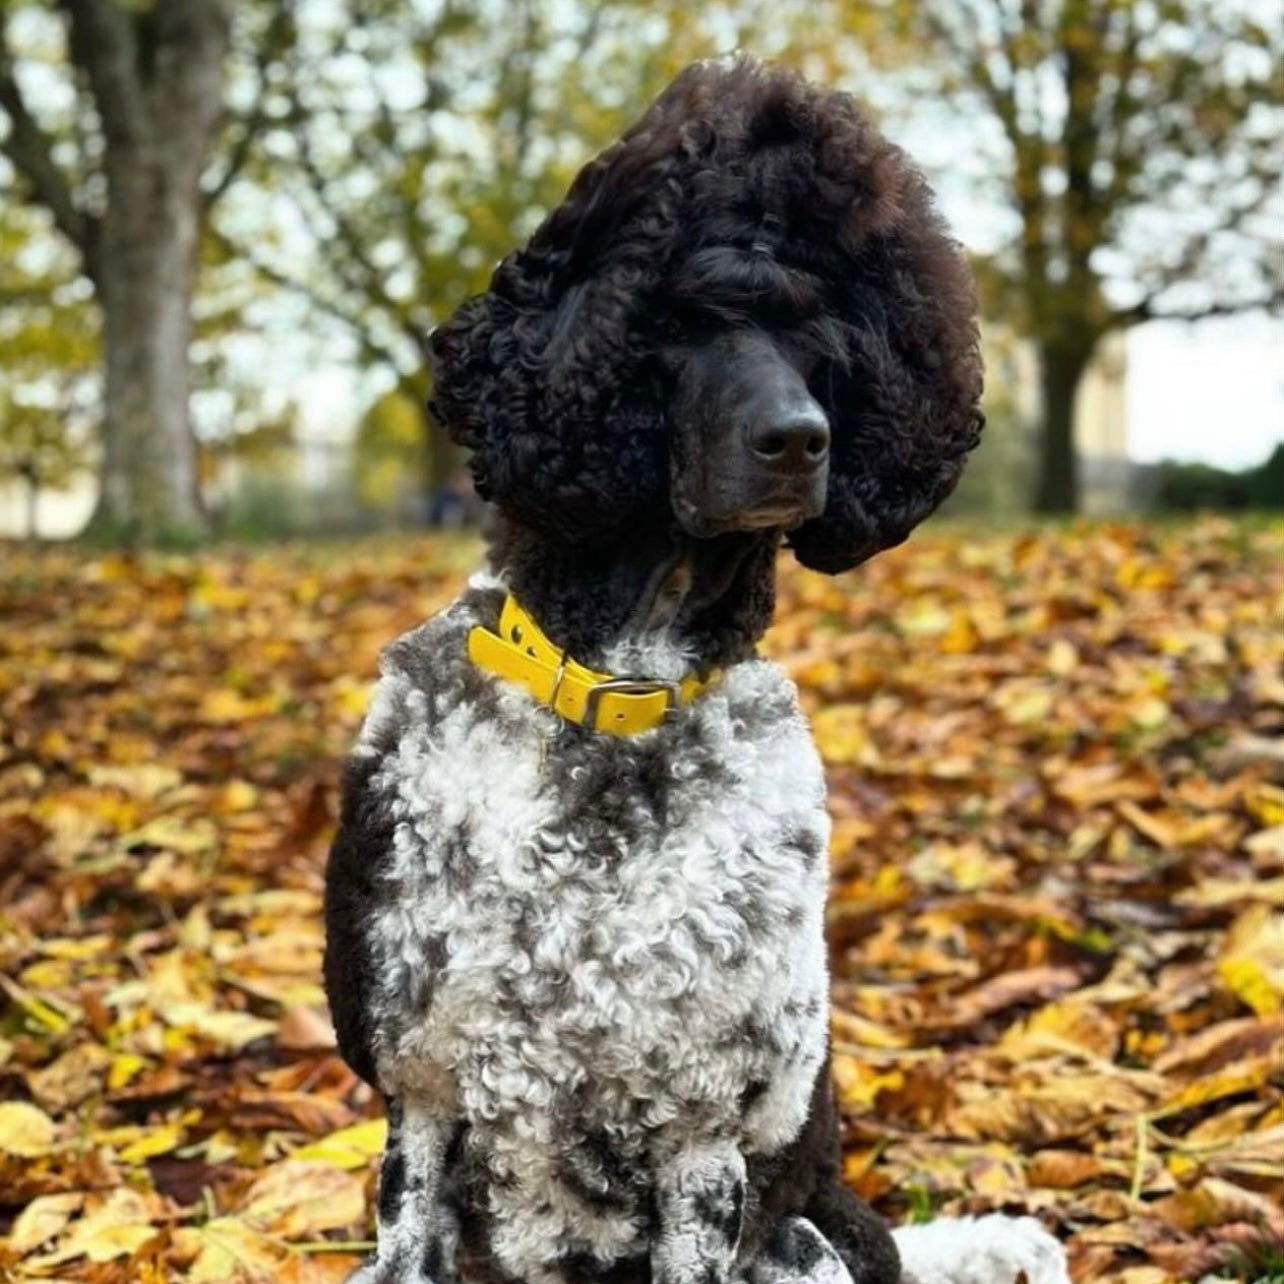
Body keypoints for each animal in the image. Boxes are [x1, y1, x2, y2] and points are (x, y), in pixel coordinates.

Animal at [326, 52, 1068, 1284]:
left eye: (818, 329)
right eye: (674, 321)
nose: (801, 439)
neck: (620, 697)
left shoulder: (708, 1130)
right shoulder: (418, 1091)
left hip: (807, 1239)